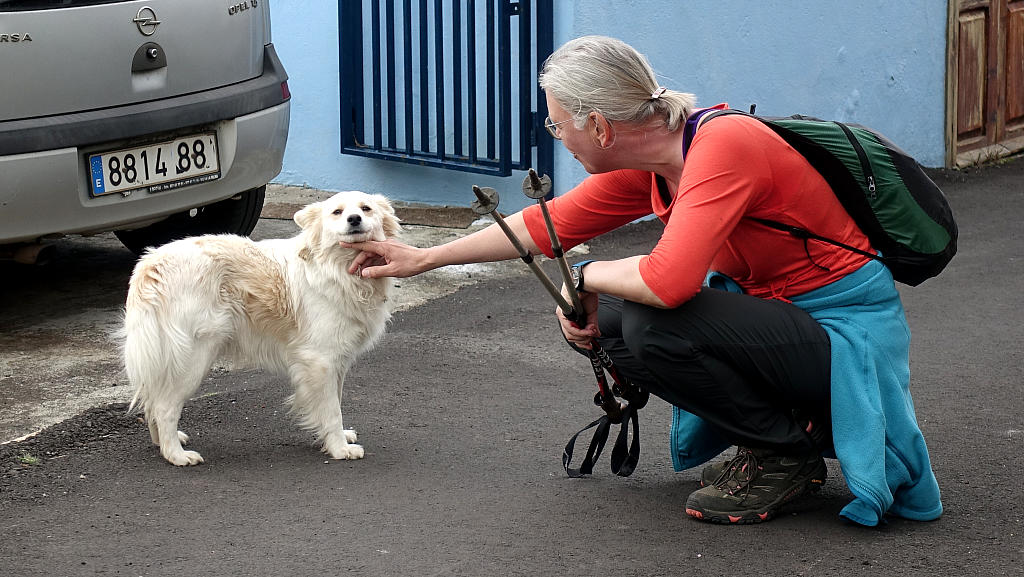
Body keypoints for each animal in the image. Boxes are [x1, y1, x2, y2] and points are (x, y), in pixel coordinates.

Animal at [119, 191, 399, 467]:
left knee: (153, 402)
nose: (354, 219)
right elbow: (331, 411)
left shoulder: (336, 361)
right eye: (337, 212)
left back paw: (164, 443)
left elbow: (334, 402)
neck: (336, 268)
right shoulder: (320, 361)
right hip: (193, 358)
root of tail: (152, 263)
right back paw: (176, 455)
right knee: (164, 407)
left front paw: (338, 438)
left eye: (366, 208)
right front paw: (340, 448)